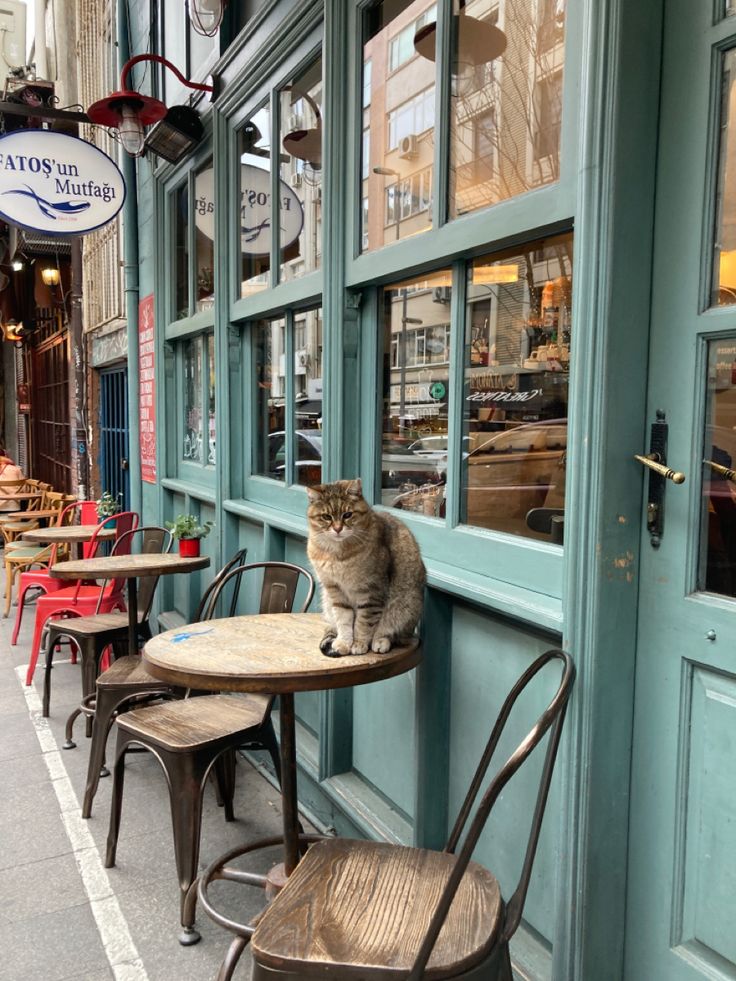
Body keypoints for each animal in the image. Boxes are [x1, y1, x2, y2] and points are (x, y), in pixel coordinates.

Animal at [306, 476, 426, 656]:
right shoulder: (335, 590)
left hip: (405, 606)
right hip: (327, 601)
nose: (338, 529)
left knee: (394, 634)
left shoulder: (371, 591)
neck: (337, 553)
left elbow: (363, 623)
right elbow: (344, 620)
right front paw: (344, 643)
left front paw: (359, 644)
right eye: (326, 516)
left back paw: (380, 641)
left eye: (347, 514)